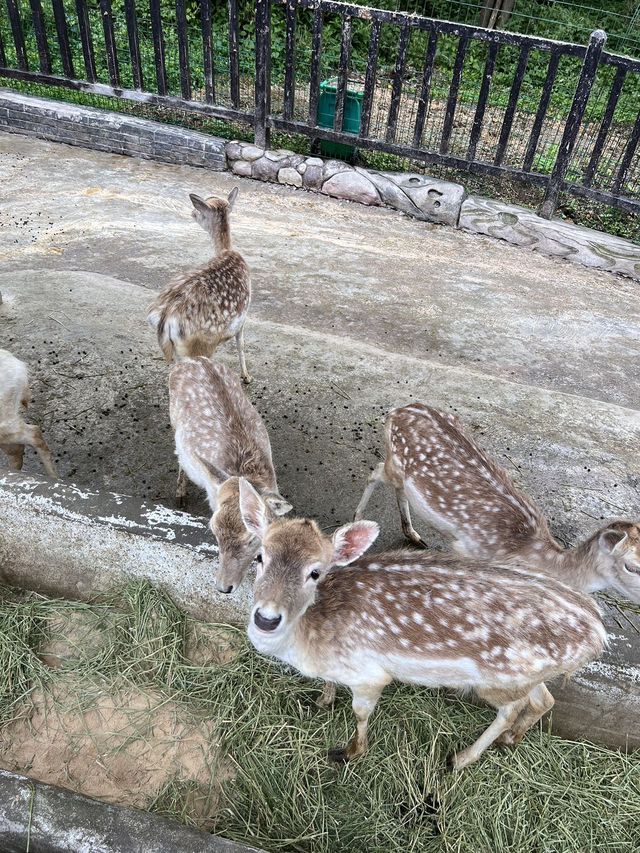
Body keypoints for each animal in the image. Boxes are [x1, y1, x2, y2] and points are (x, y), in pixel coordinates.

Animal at [148, 191, 252, 386]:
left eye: (201, 209)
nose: (192, 212)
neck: (226, 250)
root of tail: (166, 320)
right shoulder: (244, 313)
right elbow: (241, 344)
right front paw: (246, 376)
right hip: (199, 346)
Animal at [236, 480, 604, 772]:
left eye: (315, 572)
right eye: (260, 557)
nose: (266, 618)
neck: (310, 643)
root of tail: (598, 634)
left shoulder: (369, 674)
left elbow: (360, 714)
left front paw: (351, 752)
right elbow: (330, 686)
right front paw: (322, 701)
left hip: (499, 679)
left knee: (511, 709)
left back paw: (460, 758)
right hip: (528, 676)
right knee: (543, 700)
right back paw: (510, 741)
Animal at [356, 402, 640, 604]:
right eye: (632, 566)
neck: (532, 554)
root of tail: (395, 411)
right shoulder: (467, 549)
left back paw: (413, 534)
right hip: (394, 465)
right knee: (375, 471)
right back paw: (358, 519)